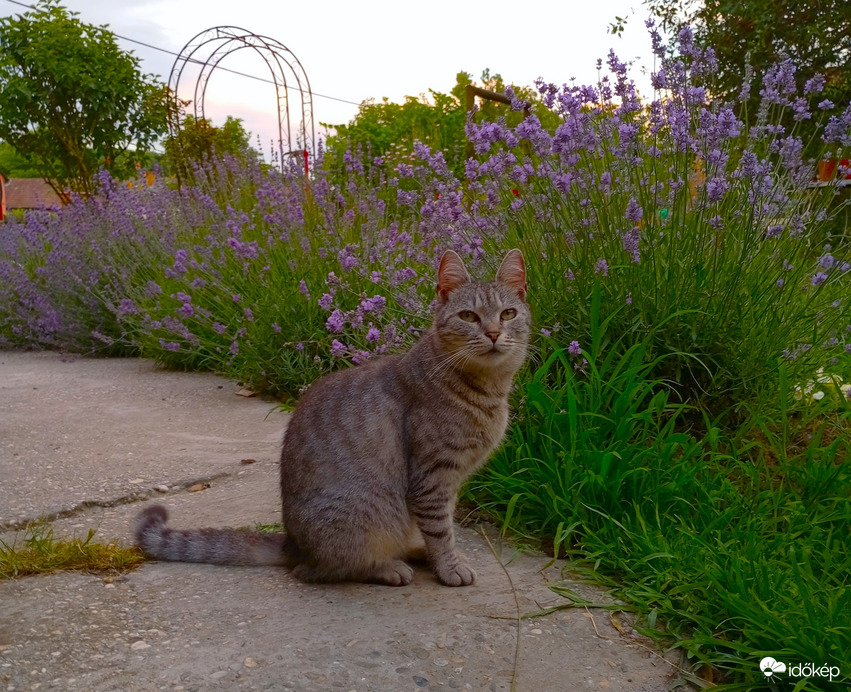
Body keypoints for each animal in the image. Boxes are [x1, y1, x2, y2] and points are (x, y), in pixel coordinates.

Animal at [136, 247, 528, 584]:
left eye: (508, 314)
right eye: (468, 316)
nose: (494, 333)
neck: (487, 390)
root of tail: (293, 544)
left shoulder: (451, 482)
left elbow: (441, 526)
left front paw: (439, 558)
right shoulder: (432, 478)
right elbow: (441, 529)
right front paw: (448, 566)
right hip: (363, 519)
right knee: (321, 570)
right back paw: (388, 567)